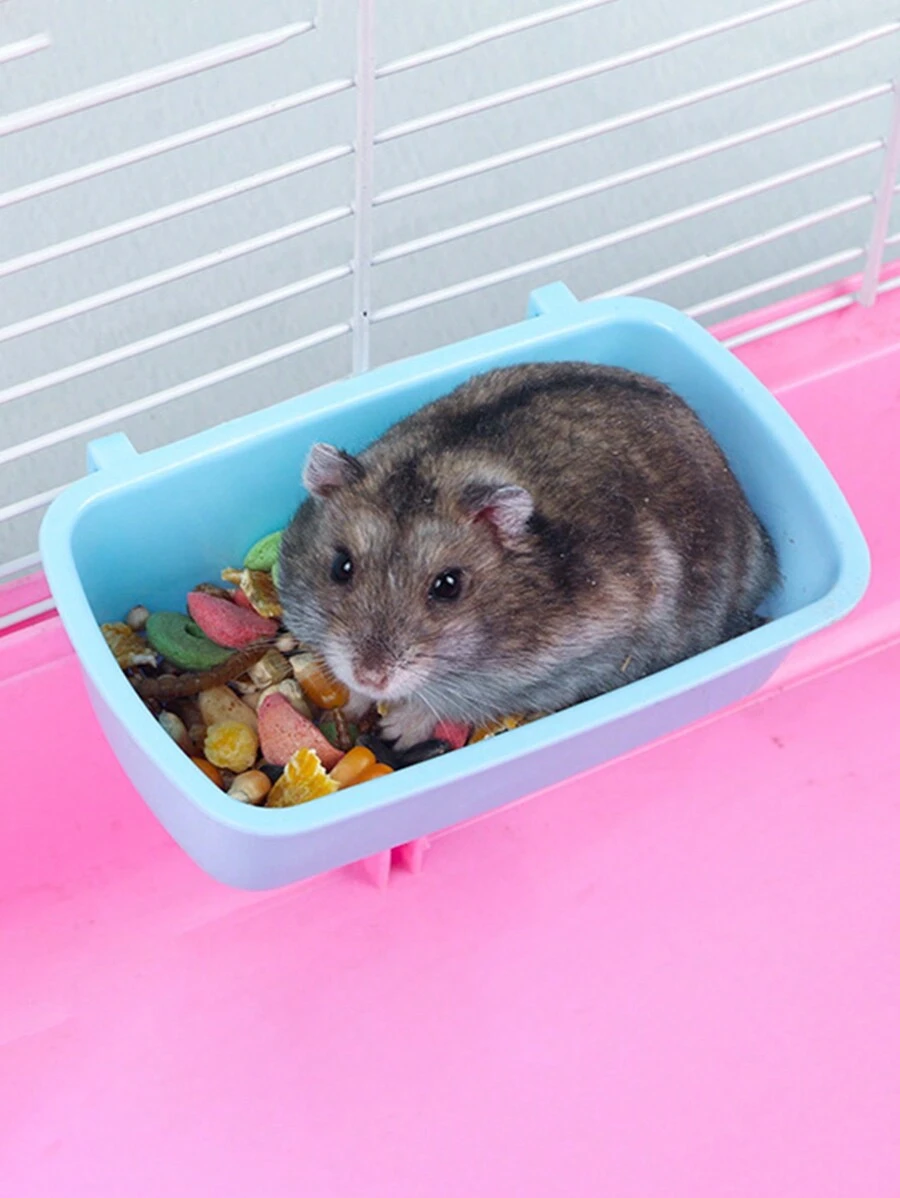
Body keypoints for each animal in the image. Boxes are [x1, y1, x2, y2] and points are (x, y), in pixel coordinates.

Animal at [278, 361, 779, 750]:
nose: (370, 676)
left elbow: (454, 699)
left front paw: (396, 729)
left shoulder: (563, 665)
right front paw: (354, 701)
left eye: (448, 585)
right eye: (340, 566)